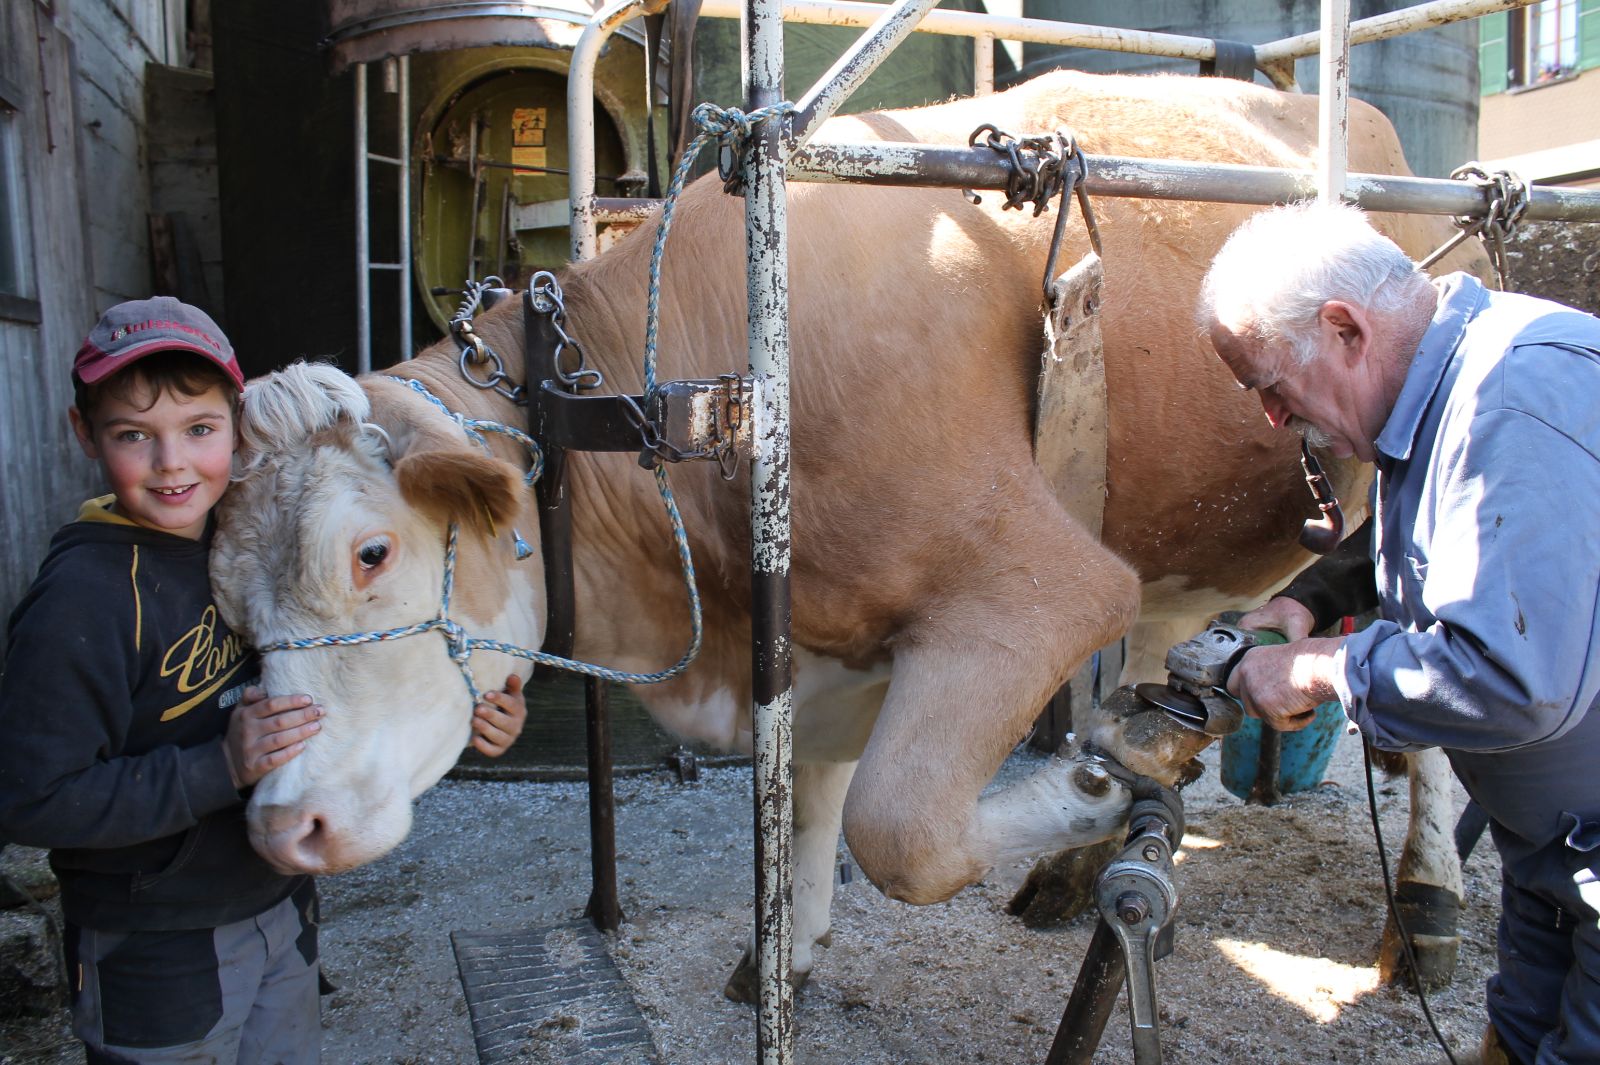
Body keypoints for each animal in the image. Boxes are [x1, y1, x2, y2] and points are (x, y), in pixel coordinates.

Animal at [211, 69, 1487, 999]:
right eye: (225, 606)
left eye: (370, 553)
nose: (281, 827)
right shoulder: (814, 638)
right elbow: (812, 794)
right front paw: (790, 945)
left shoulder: (1043, 583)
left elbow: (898, 826)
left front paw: (1082, 789)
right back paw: (1090, 852)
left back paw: (1420, 907)